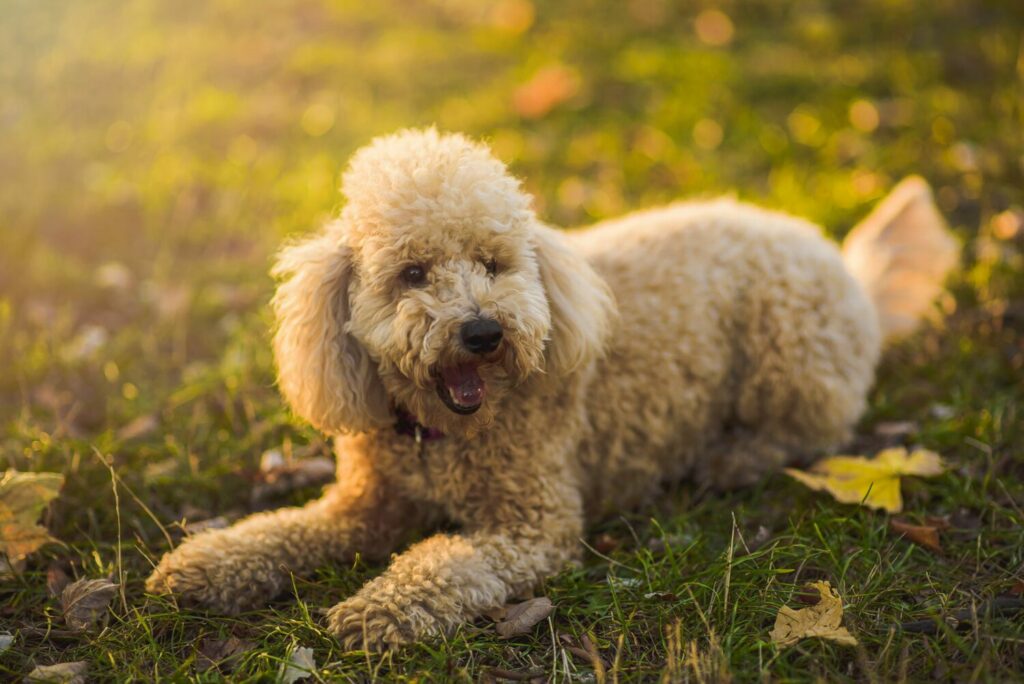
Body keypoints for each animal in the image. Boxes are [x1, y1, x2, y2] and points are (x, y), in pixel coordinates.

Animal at [146, 126, 958, 647]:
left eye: (493, 262)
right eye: (412, 273)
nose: (483, 332)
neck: (440, 434)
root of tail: (846, 266)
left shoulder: (534, 525)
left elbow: (448, 558)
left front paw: (381, 608)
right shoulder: (364, 506)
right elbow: (283, 530)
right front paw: (207, 564)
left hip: (789, 349)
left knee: (815, 429)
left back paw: (734, 457)